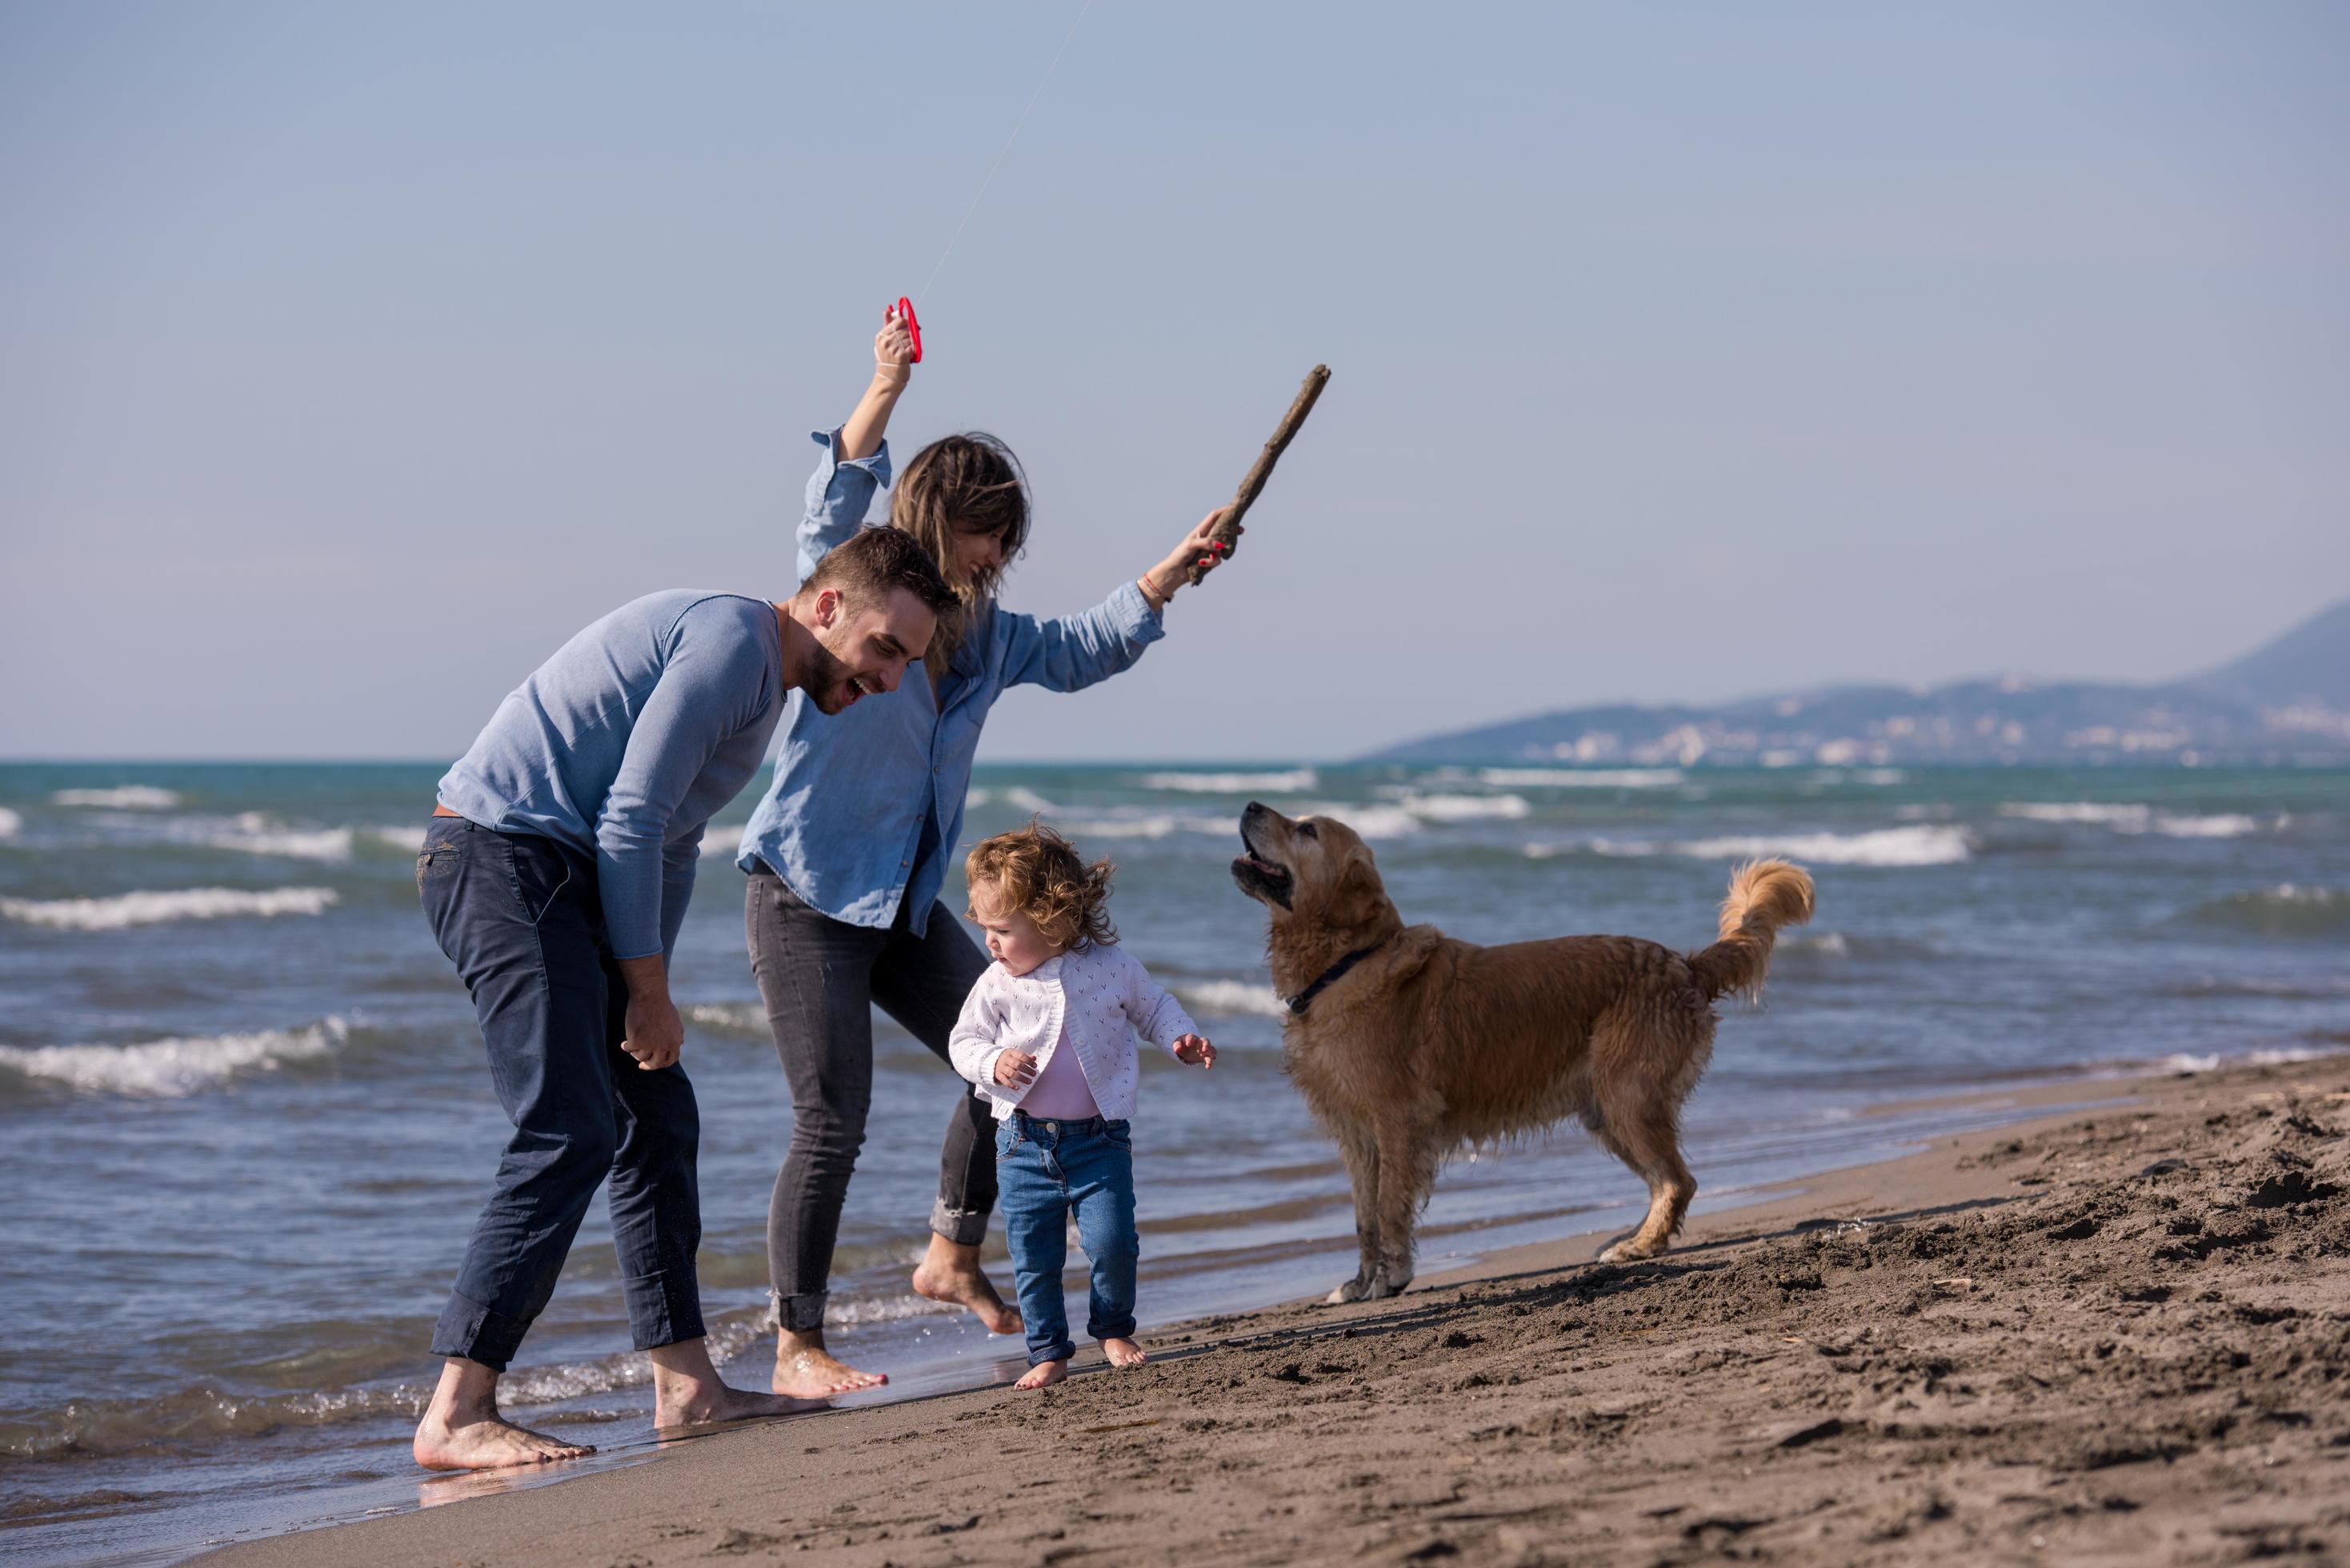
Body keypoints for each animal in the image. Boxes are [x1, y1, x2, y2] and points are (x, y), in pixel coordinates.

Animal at [1231, 803, 1814, 1306]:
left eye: (1306, 830)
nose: (1251, 805)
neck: (1347, 963)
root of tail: (1683, 964)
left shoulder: (1399, 1120)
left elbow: (1391, 1207)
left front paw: (1392, 1278)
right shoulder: (1356, 1136)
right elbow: (1364, 1217)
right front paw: (1358, 1282)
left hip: (1627, 1097)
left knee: (1676, 1180)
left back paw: (1638, 1246)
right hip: (1607, 1111)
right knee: (1666, 1181)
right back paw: (1631, 1238)